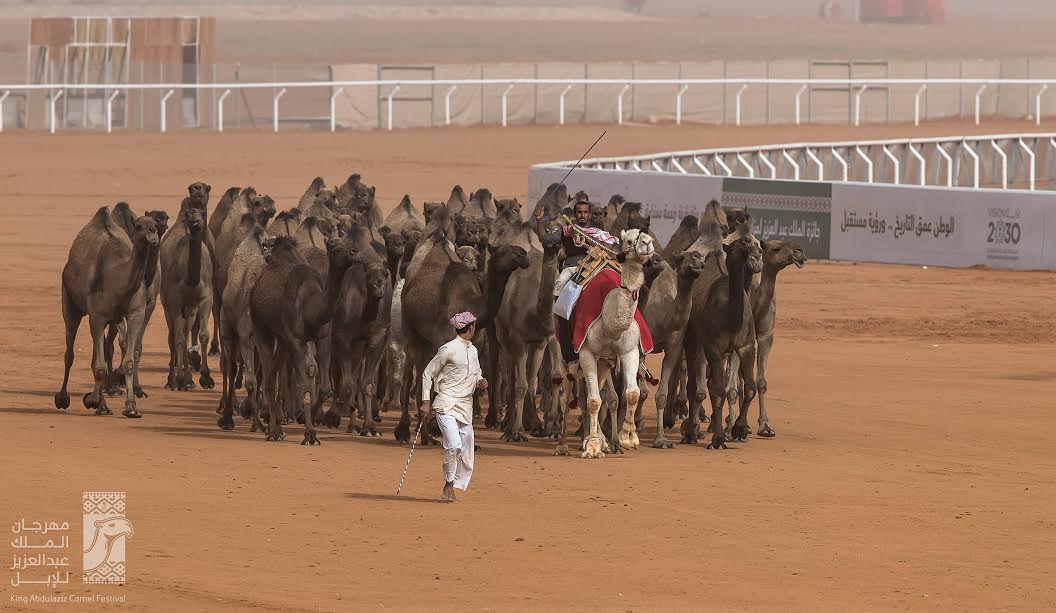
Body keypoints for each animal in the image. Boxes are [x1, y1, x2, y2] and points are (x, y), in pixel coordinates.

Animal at [56, 206, 159, 416]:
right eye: (138, 226)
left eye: (155, 224)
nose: (153, 234)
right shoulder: (97, 317)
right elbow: (100, 367)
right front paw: (97, 404)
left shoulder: (135, 314)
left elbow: (127, 361)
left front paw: (131, 408)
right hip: (69, 301)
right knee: (70, 351)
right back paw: (63, 398)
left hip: (111, 319)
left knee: (101, 350)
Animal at [557, 227, 654, 456]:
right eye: (629, 240)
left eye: (646, 235)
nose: (647, 243)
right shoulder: (586, 352)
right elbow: (593, 401)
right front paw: (592, 446)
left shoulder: (629, 350)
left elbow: (632, 393)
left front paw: (627, 438)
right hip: (565, 356)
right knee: (567, 396)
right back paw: (563, 445)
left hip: (603, 362)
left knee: (596, 393)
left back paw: (602, 440)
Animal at [726, 236, 806, 437]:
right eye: (775, 248)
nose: (799, 251)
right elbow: (730, 386)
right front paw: (730, 428)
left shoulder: (765, 336)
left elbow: (761, 382)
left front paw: (764, 426)